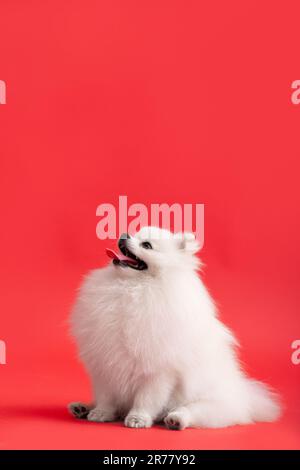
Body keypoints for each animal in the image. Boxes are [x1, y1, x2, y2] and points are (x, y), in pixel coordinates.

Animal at [69, 227, 280, 430]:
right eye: (133, 232)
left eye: (146, 245)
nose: (123, 235)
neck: (132, 287)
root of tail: (244, 397)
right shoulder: (105, 364)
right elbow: (106, 397)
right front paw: (101, 413)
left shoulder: (158, 370)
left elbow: (147, 398)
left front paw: (138, 418)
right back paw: (82, 408)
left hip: (209, 403)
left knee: (191, 411)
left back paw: (175, 420)